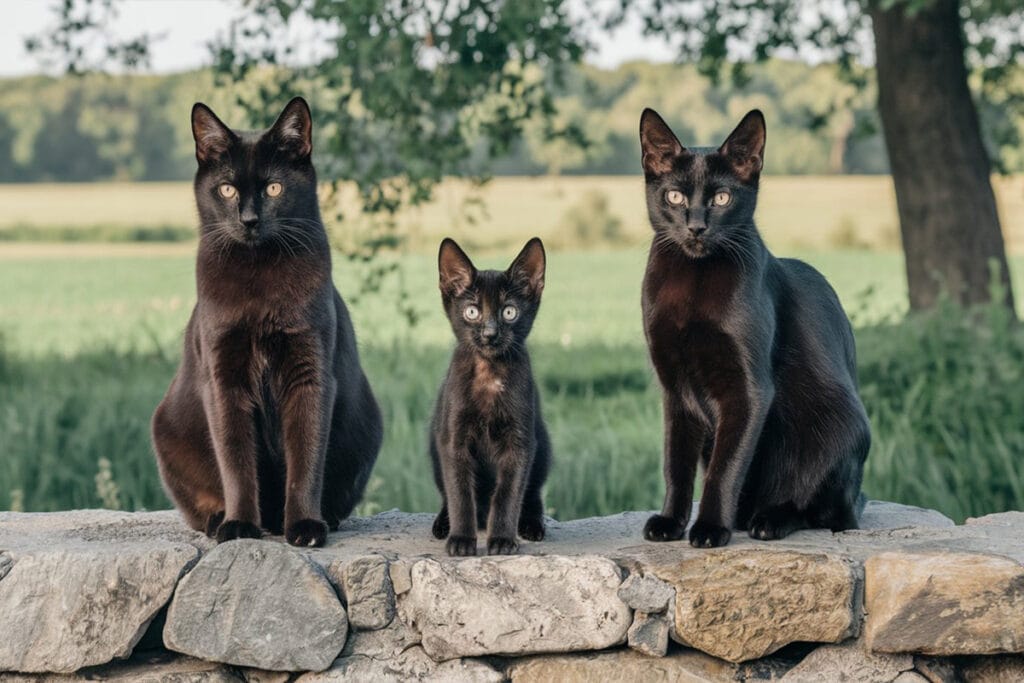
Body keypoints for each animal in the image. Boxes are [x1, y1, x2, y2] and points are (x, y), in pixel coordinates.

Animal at [148, 96, 380, 548]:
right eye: (227, 189)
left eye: (274, 188)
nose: (249, 220)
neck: (260, 281)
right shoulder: (224, 377)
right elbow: (236, 460)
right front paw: (239, 526)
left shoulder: (310, 371)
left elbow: (306, 456)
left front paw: (305, 525)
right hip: (167, 431)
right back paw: (219, 519)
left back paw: (321, 518)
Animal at [428, 237, 552, 557]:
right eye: (472, 311)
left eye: (509, 312)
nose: (490, 333)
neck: (489, 372)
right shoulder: (453, 440)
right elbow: (460, 493)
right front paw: (461, 539)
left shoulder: (520, 442)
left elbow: (508, 493)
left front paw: (502, 540)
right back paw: (443, 523)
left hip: (543, 443)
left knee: (532, 492)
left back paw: (531, 523)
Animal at [634, 109, 868, 548]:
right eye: (674, 197)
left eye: (722, 199)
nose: (696, 227)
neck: (693, 284)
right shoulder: (674, 389)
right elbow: (676, 464)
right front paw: (671, 521)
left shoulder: (749, 390)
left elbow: (724, 470)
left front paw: (710, 528)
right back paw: (744, 517)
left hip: (840, 429)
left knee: (817, 507)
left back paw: (769, 519)